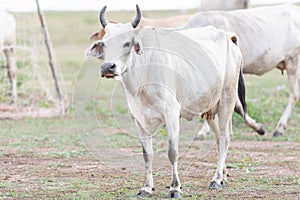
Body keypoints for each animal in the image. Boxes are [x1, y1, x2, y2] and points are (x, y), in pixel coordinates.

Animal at [85, 4, 247, 198]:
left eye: (127, 43)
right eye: (104, 43)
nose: (107, 67)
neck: (143, 73)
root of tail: (228, 36)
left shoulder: (171, 114)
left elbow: (172, 152)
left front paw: (175, 188)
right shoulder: (139, 119)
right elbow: (147, 154)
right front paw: (146, 187)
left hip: (226, 100)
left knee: (224, 138)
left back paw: (216, 179)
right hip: (210, 109)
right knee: (220, 138)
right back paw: (222, 177)